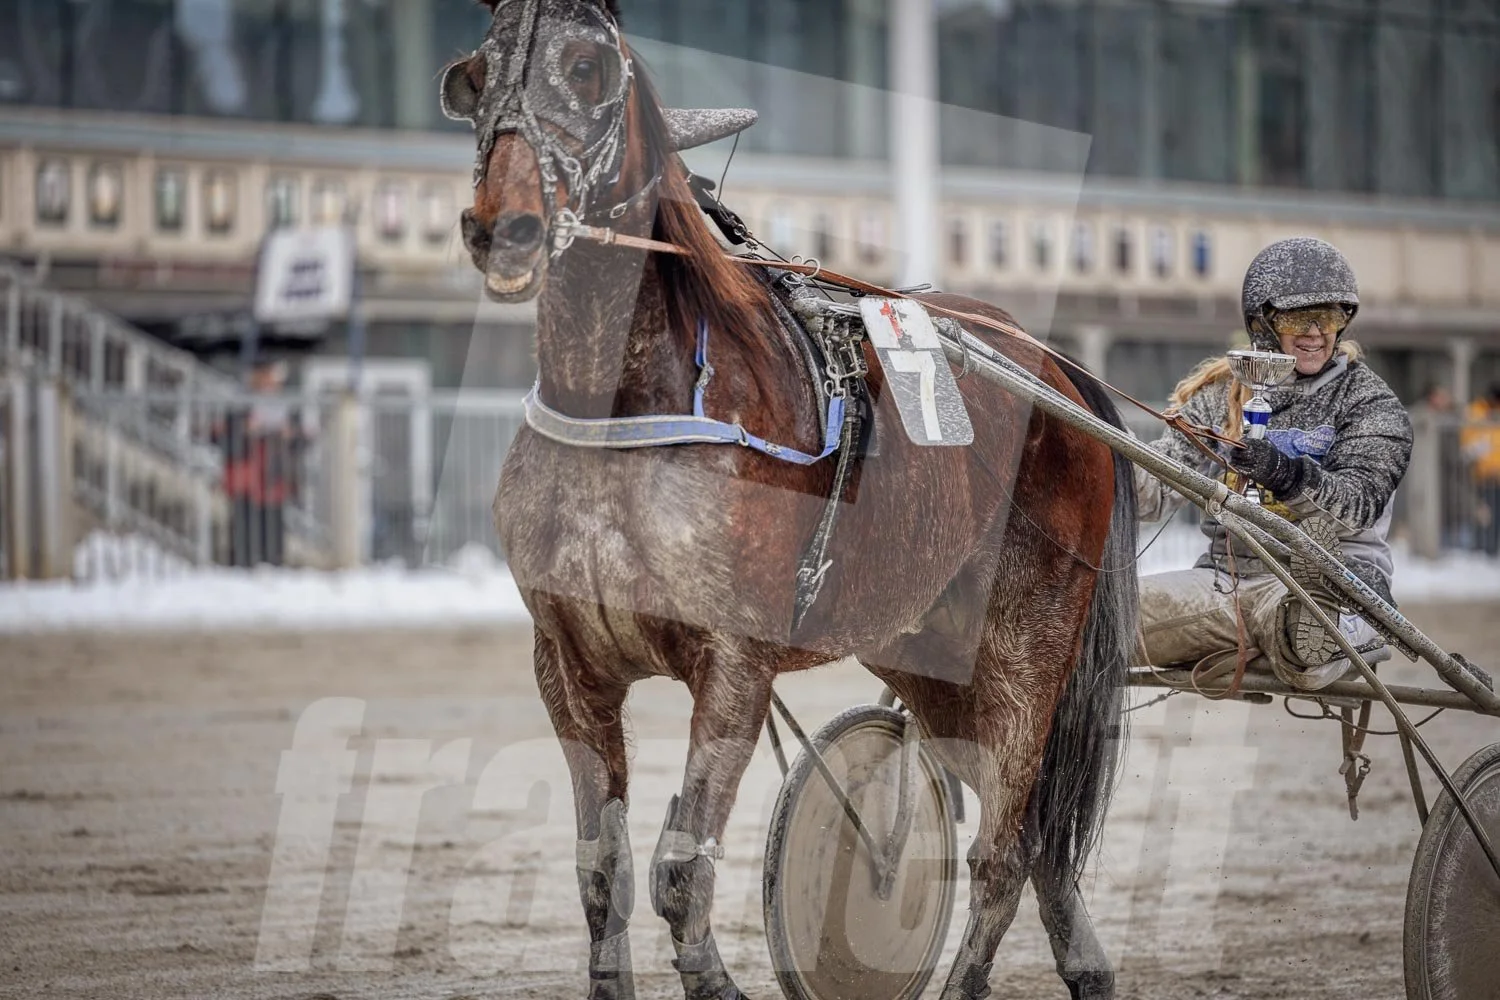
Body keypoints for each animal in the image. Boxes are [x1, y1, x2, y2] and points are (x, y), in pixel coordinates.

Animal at [441, 2, 1138, 998]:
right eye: (476, 74)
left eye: (583, 67)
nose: (506, 227)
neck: (622, 400)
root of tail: (1054, 370)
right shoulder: (569, 668)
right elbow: (601, 871)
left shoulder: (733, 662)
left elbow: (681, 868)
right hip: (925, 649)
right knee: (1035, 834)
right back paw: (1087, 963)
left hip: (1026, 645)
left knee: (1003, 853)